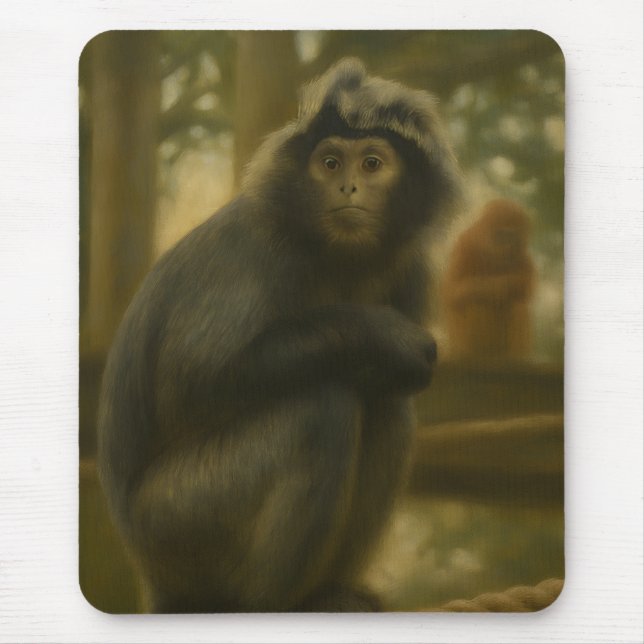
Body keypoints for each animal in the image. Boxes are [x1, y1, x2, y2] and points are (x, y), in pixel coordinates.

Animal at [97, 58, 460, 613]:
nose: (347, 188)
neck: (336, 254)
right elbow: (194, 385)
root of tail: (151, 576)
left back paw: (329, 594)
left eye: (371, 164)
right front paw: (385, 335)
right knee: (320, 407)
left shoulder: (412, 267)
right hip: (178, 520)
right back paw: (267, 606)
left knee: (384, 404)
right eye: (330, 164)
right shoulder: (251, 249)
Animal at [441, 198, 535, 362]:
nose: (507, 247)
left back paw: (514, 359)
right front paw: (499, 286)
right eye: (501, 236)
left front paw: (508, 284)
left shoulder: (520, 254)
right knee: (476, 300)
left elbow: (524, 288)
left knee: (517, 304)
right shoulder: (465, 245)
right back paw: (472, 356)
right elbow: (452, 293)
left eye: (512, 237)